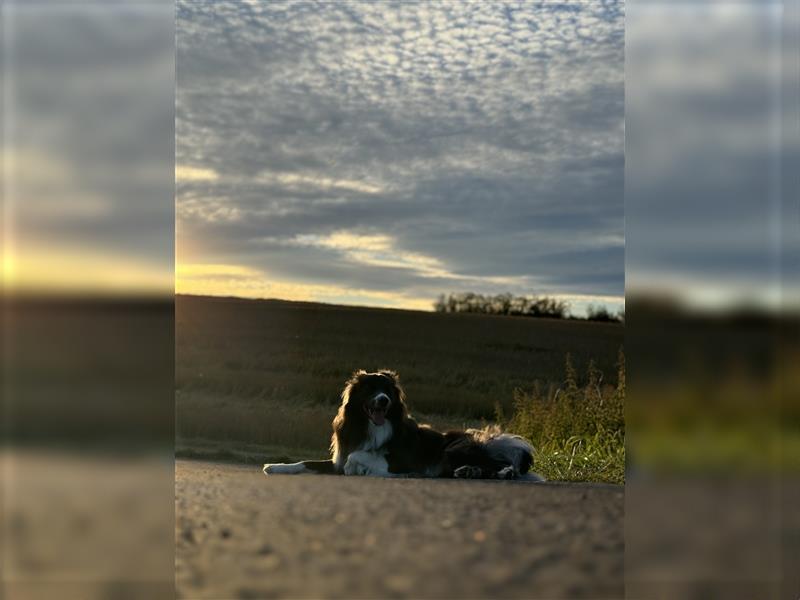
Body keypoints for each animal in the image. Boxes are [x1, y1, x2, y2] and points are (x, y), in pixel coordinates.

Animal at [262, 368, 544, 480]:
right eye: (371, 389)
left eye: (388, 390)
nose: (384, 400)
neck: (371, 426)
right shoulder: (336, 462)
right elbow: (305, 462)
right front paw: (275, 467)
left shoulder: (399, 461)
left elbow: (358, 456)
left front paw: (361, 468)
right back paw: (469, 472)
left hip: (453, 448)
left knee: (504, 467)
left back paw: (502, 473)